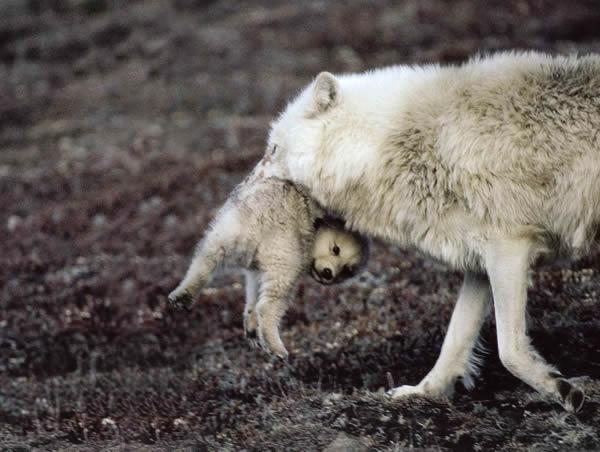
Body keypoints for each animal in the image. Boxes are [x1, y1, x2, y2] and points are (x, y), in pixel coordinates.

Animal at [166, 177, 368, 356]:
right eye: (335, 249)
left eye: (347, 269)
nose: (328, 274)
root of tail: (262, 221)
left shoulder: (255, 270)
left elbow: (252, 292)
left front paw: (251, 325)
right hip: (285, 254)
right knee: (271, 302)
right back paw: (277, 347)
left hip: (229, 231)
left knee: (205, 260)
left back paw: (184, 295)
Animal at [254, 51, 600, 412]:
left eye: (273, 150)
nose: (248, 184)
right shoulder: (480, 261)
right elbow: (455, 338)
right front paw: (424, 392)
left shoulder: (509, 248)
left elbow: (510, 350)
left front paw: (564, 391)